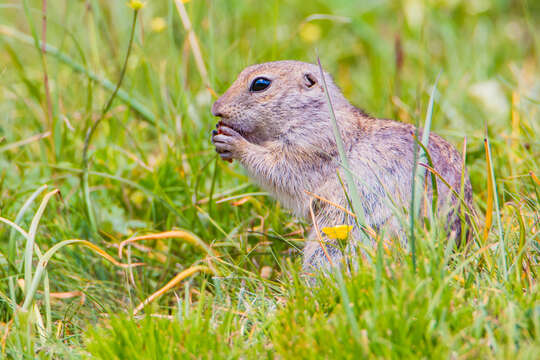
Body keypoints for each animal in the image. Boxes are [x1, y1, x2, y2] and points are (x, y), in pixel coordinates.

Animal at [211, 60, 472, 274]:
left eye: (260, 84)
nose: (216, 109)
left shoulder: (313, 145)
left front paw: (236, 143)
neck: (314, 115)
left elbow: (281, 169)